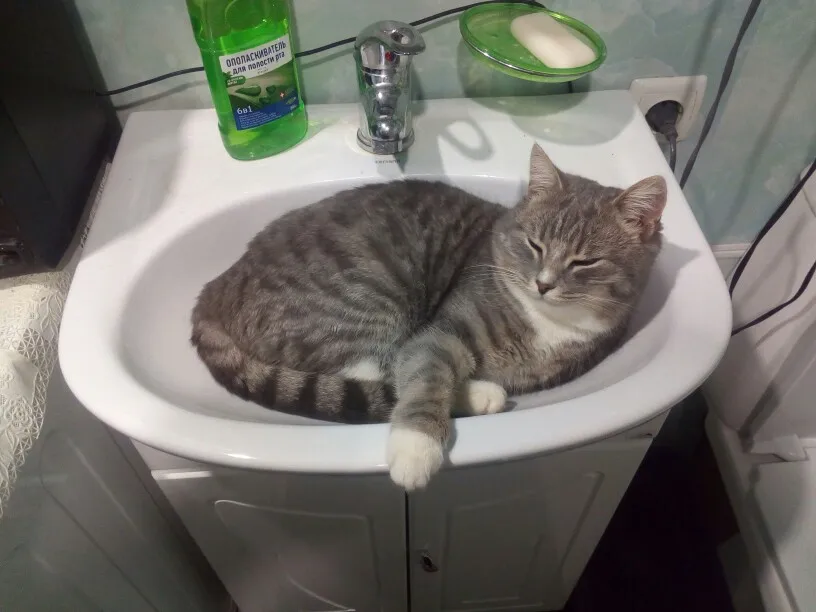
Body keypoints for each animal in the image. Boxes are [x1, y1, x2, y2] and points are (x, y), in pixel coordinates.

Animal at [191, 144, 666, 490]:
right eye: (534, 245)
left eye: (585, 261)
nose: (544, 283)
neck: (543, 322)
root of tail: (217, 285)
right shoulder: (443, 330)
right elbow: (424, 374)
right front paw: (415, 450)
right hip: (361, 306)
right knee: (379, 376)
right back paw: (478, 394)